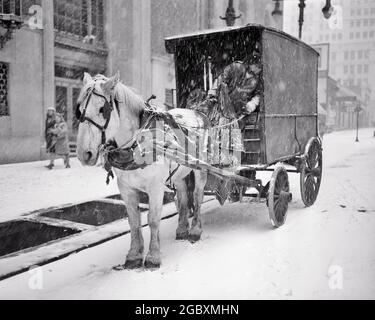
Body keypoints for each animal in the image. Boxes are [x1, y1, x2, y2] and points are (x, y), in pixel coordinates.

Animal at [76, 73, 209, 270]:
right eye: (78, 110)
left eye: (102, 109)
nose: (83, 154)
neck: (137, 143)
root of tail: (198, 113)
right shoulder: (126, 188)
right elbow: (134, 221)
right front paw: (133, 255)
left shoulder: (156, 187)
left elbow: (153, 219)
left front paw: (153, 256)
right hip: (178, 173)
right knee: (184, 196)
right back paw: (182, 229)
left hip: (200, 169)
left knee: (198, 196)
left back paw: (195, 230)